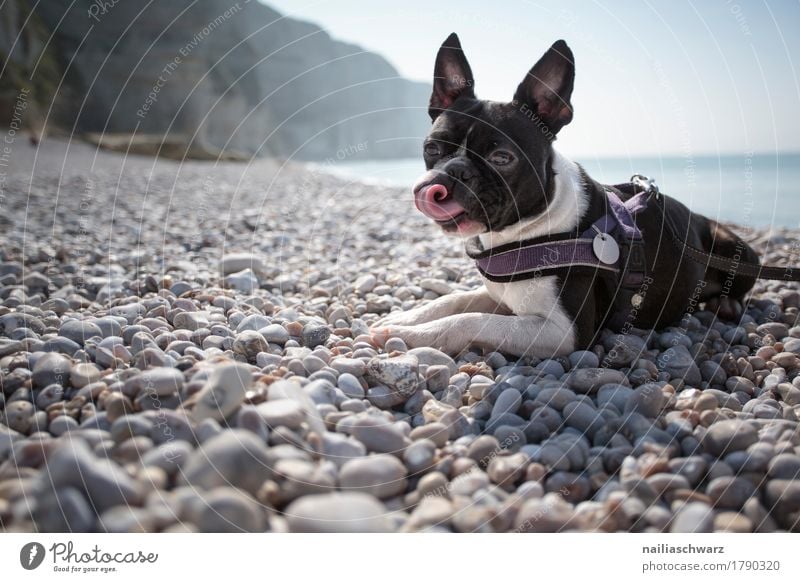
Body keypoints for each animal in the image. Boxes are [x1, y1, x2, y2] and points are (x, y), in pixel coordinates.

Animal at [370, 35, 756, 360]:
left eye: (501, 158)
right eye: (431, 149)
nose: (452, 173)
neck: (524, 231)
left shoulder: (564, 332)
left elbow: (471, 320)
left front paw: (412, 335)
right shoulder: (502, 296)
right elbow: (454, 299)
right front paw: (408, 317)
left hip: (735, 248)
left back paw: (728, 305)